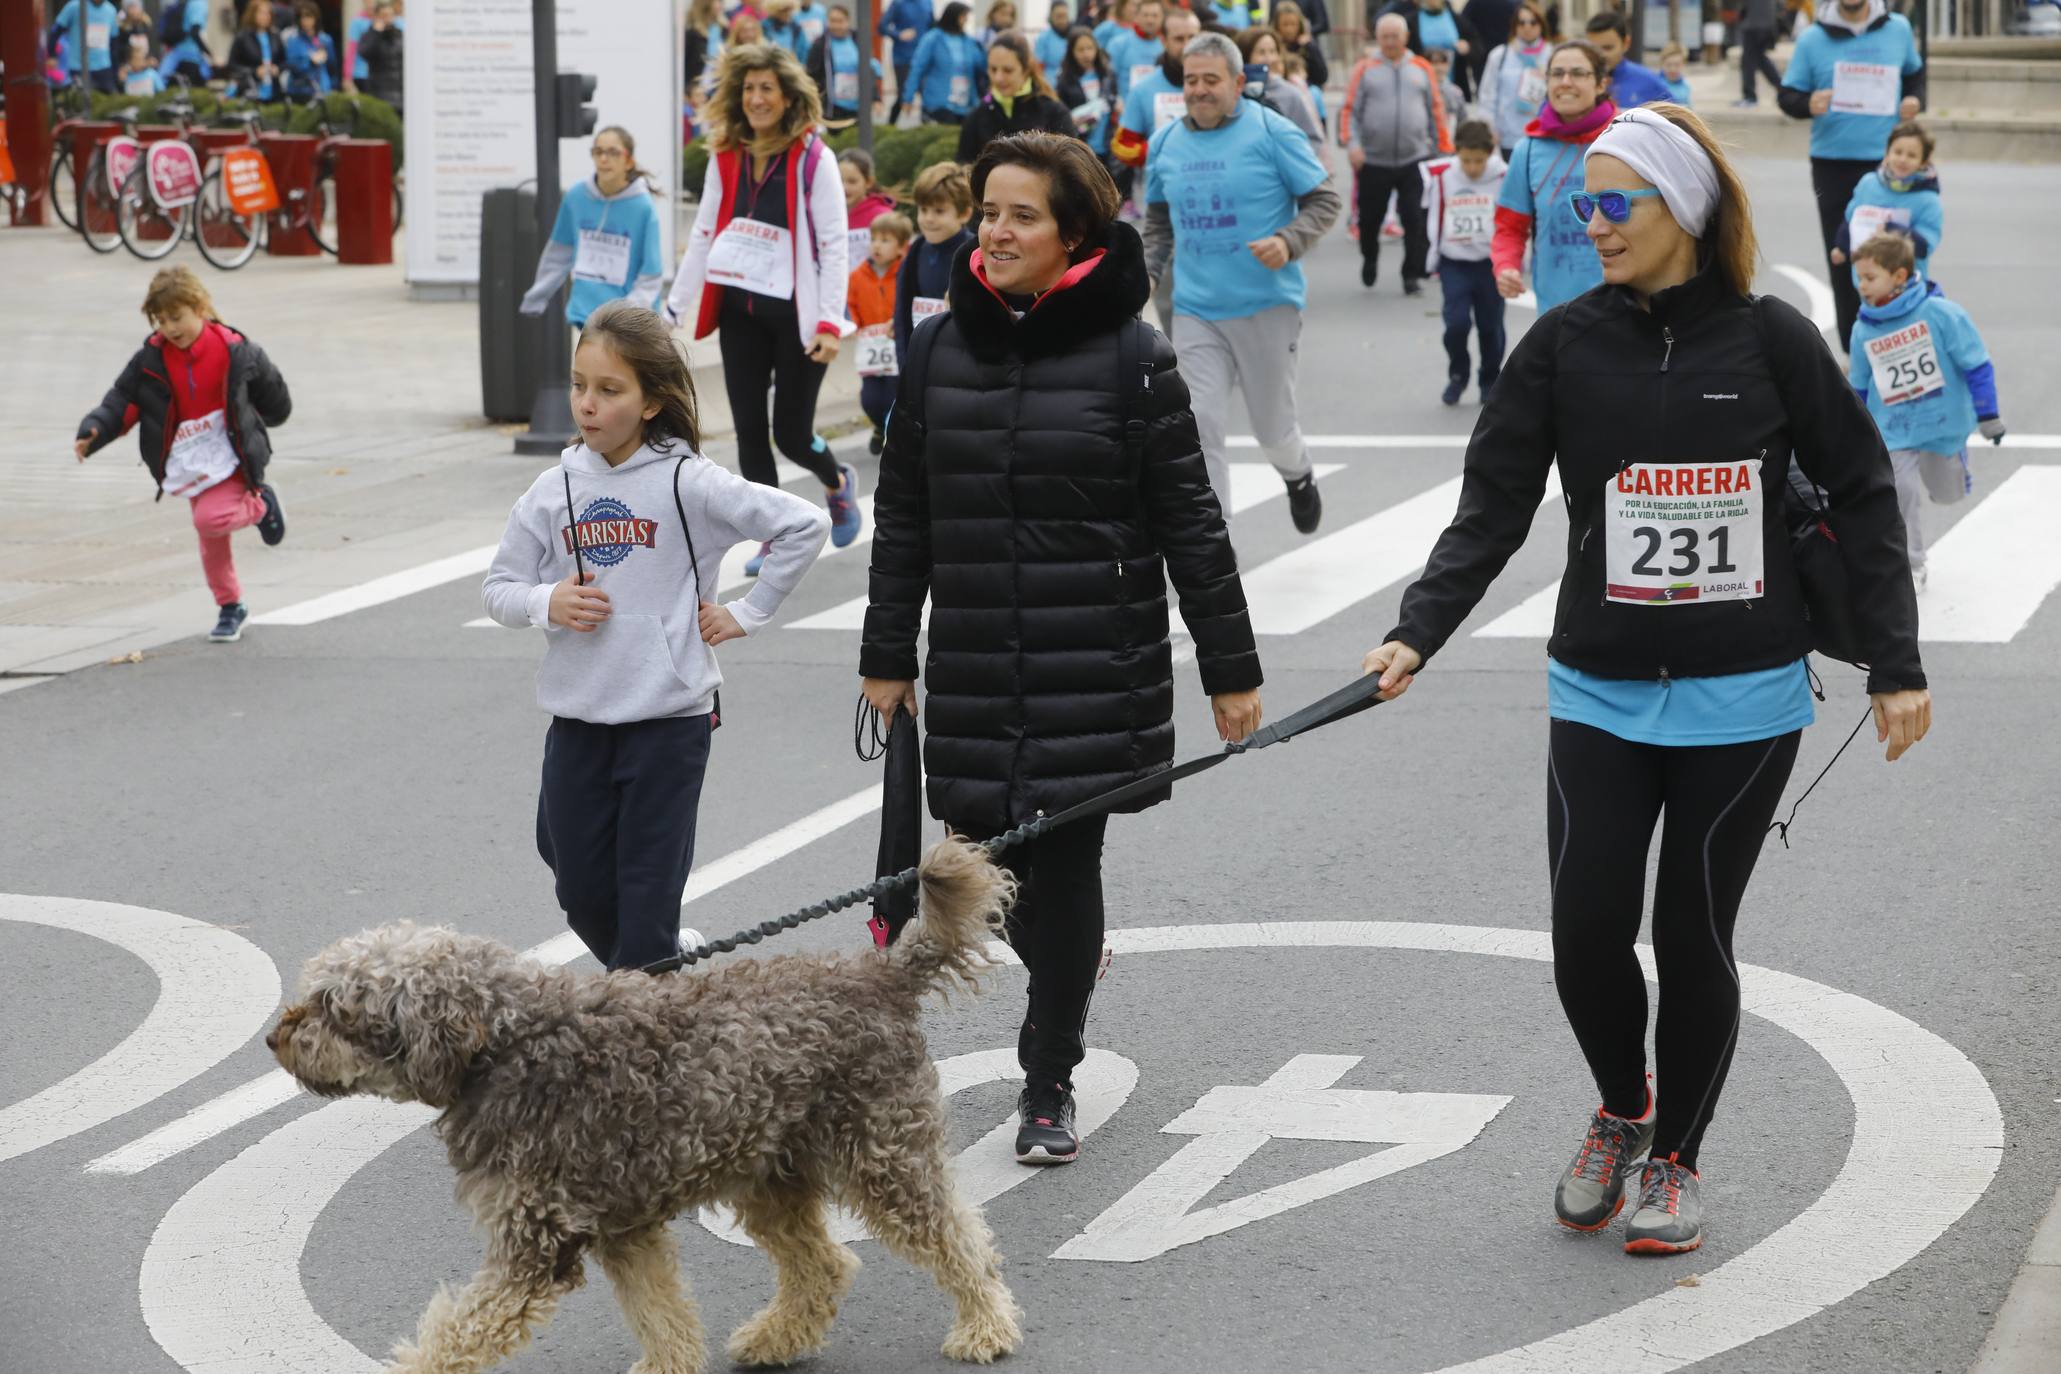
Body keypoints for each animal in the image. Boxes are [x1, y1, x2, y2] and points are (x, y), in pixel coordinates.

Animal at [265, 840, 1022, 1374]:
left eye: (334, 1008)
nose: (273, 1037)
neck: (505, 1045)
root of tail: (877, 976)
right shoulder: (621, 1228)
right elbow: (659, 1315)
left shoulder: (536, 1245)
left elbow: (456, 1336)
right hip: (770, 1173)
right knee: (824, 1265)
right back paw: (778, 1337)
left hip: (883, 1154)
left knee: (959, 1239)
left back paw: (985, 1326)